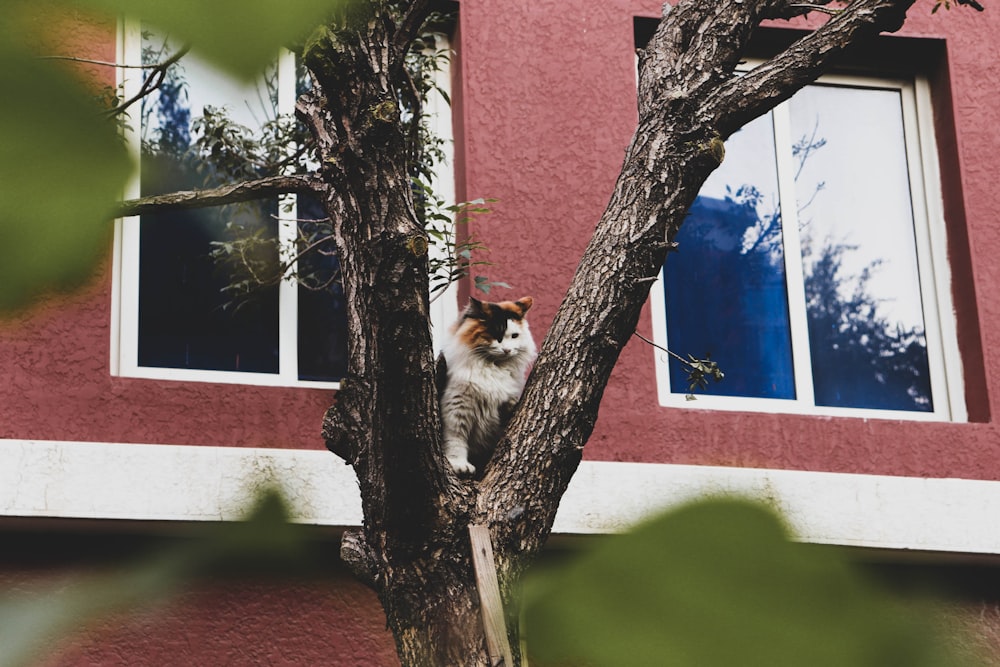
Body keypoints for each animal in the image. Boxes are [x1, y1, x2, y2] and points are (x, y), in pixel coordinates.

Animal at [434, 296, 536, 474]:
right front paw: (459, 464)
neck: (493, 366)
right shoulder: (456, 407)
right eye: (496, 334)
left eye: (514, 336)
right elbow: (455, 439)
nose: (507, 350)